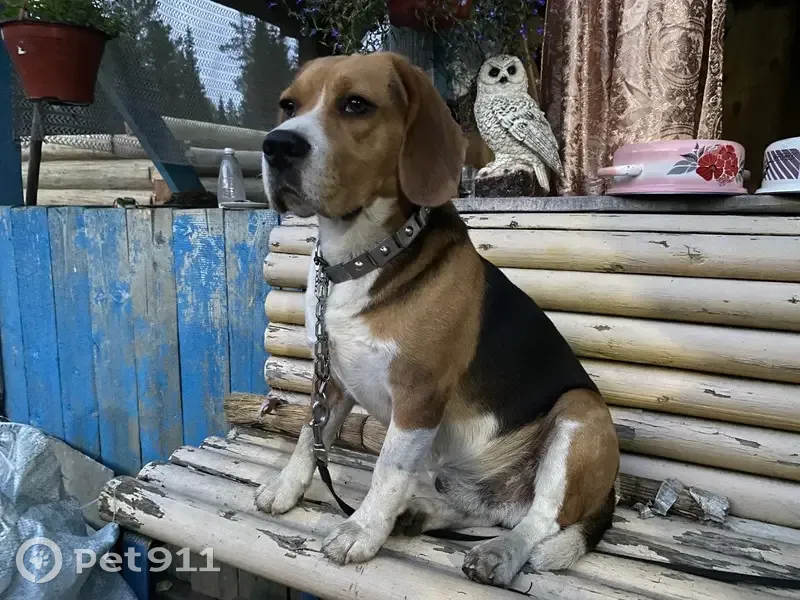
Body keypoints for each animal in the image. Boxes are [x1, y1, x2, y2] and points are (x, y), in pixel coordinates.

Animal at [256, 52, 619, 587]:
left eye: (356, 104)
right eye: (287, 105)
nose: (277, 146)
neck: (364, 259)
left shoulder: (418, 397)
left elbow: (388, 470)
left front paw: (362, 530)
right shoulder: (332, 381)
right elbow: (308, 438)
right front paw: (285, 490)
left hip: (580, 413)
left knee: (539, 521)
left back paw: (500, 553)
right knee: (489, 508)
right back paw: (422, 514)